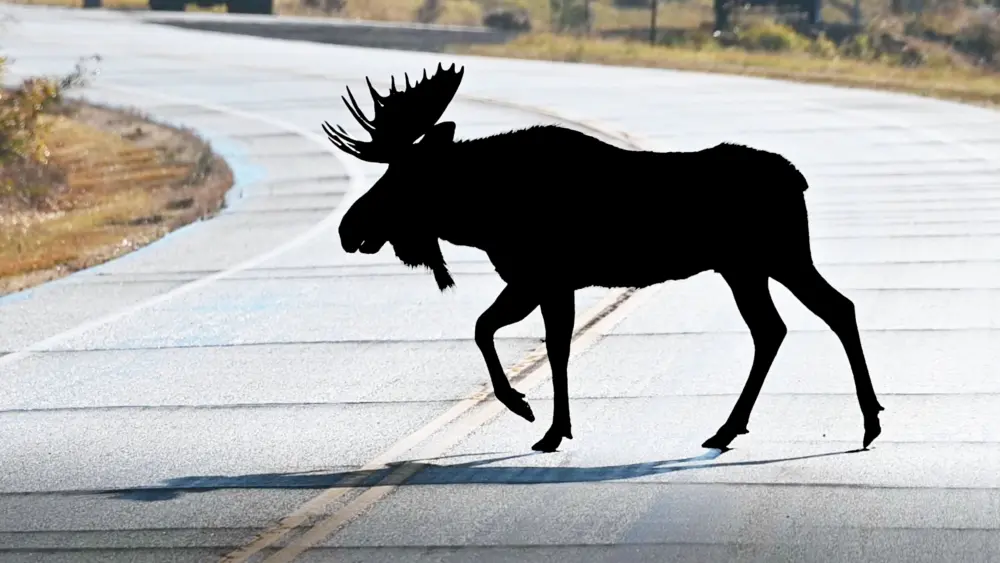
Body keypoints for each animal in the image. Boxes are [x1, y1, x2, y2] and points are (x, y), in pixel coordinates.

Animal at [323, 63, 885, 454]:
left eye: (403, 177)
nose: (348, 229)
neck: (484, 212)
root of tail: (799, 180)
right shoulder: (542, 281)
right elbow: (522, 337)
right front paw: (552, 424)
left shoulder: (542, 276)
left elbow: (516, 338)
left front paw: (532, 416)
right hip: (751, 267)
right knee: (798, 320)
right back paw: (740, 427)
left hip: (774, 257)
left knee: (820, 314)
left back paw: (863, 421)